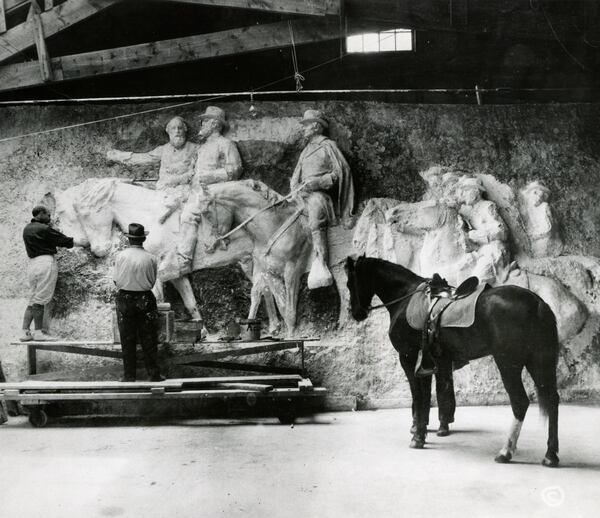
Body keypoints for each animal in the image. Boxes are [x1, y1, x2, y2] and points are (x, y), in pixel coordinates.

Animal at [344, 258, 560, 470]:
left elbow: (418, 397)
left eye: (349, 283)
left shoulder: (408, 357)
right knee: (552, 400)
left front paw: (418, 437)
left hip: (508, 363)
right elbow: (426, 397)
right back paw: (551, 455)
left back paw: (506, 451)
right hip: (540, 363)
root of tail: (538, 303)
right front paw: (422, 430)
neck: (404, 298)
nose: (356, 313)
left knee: (520, 402)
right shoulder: (427, 362)